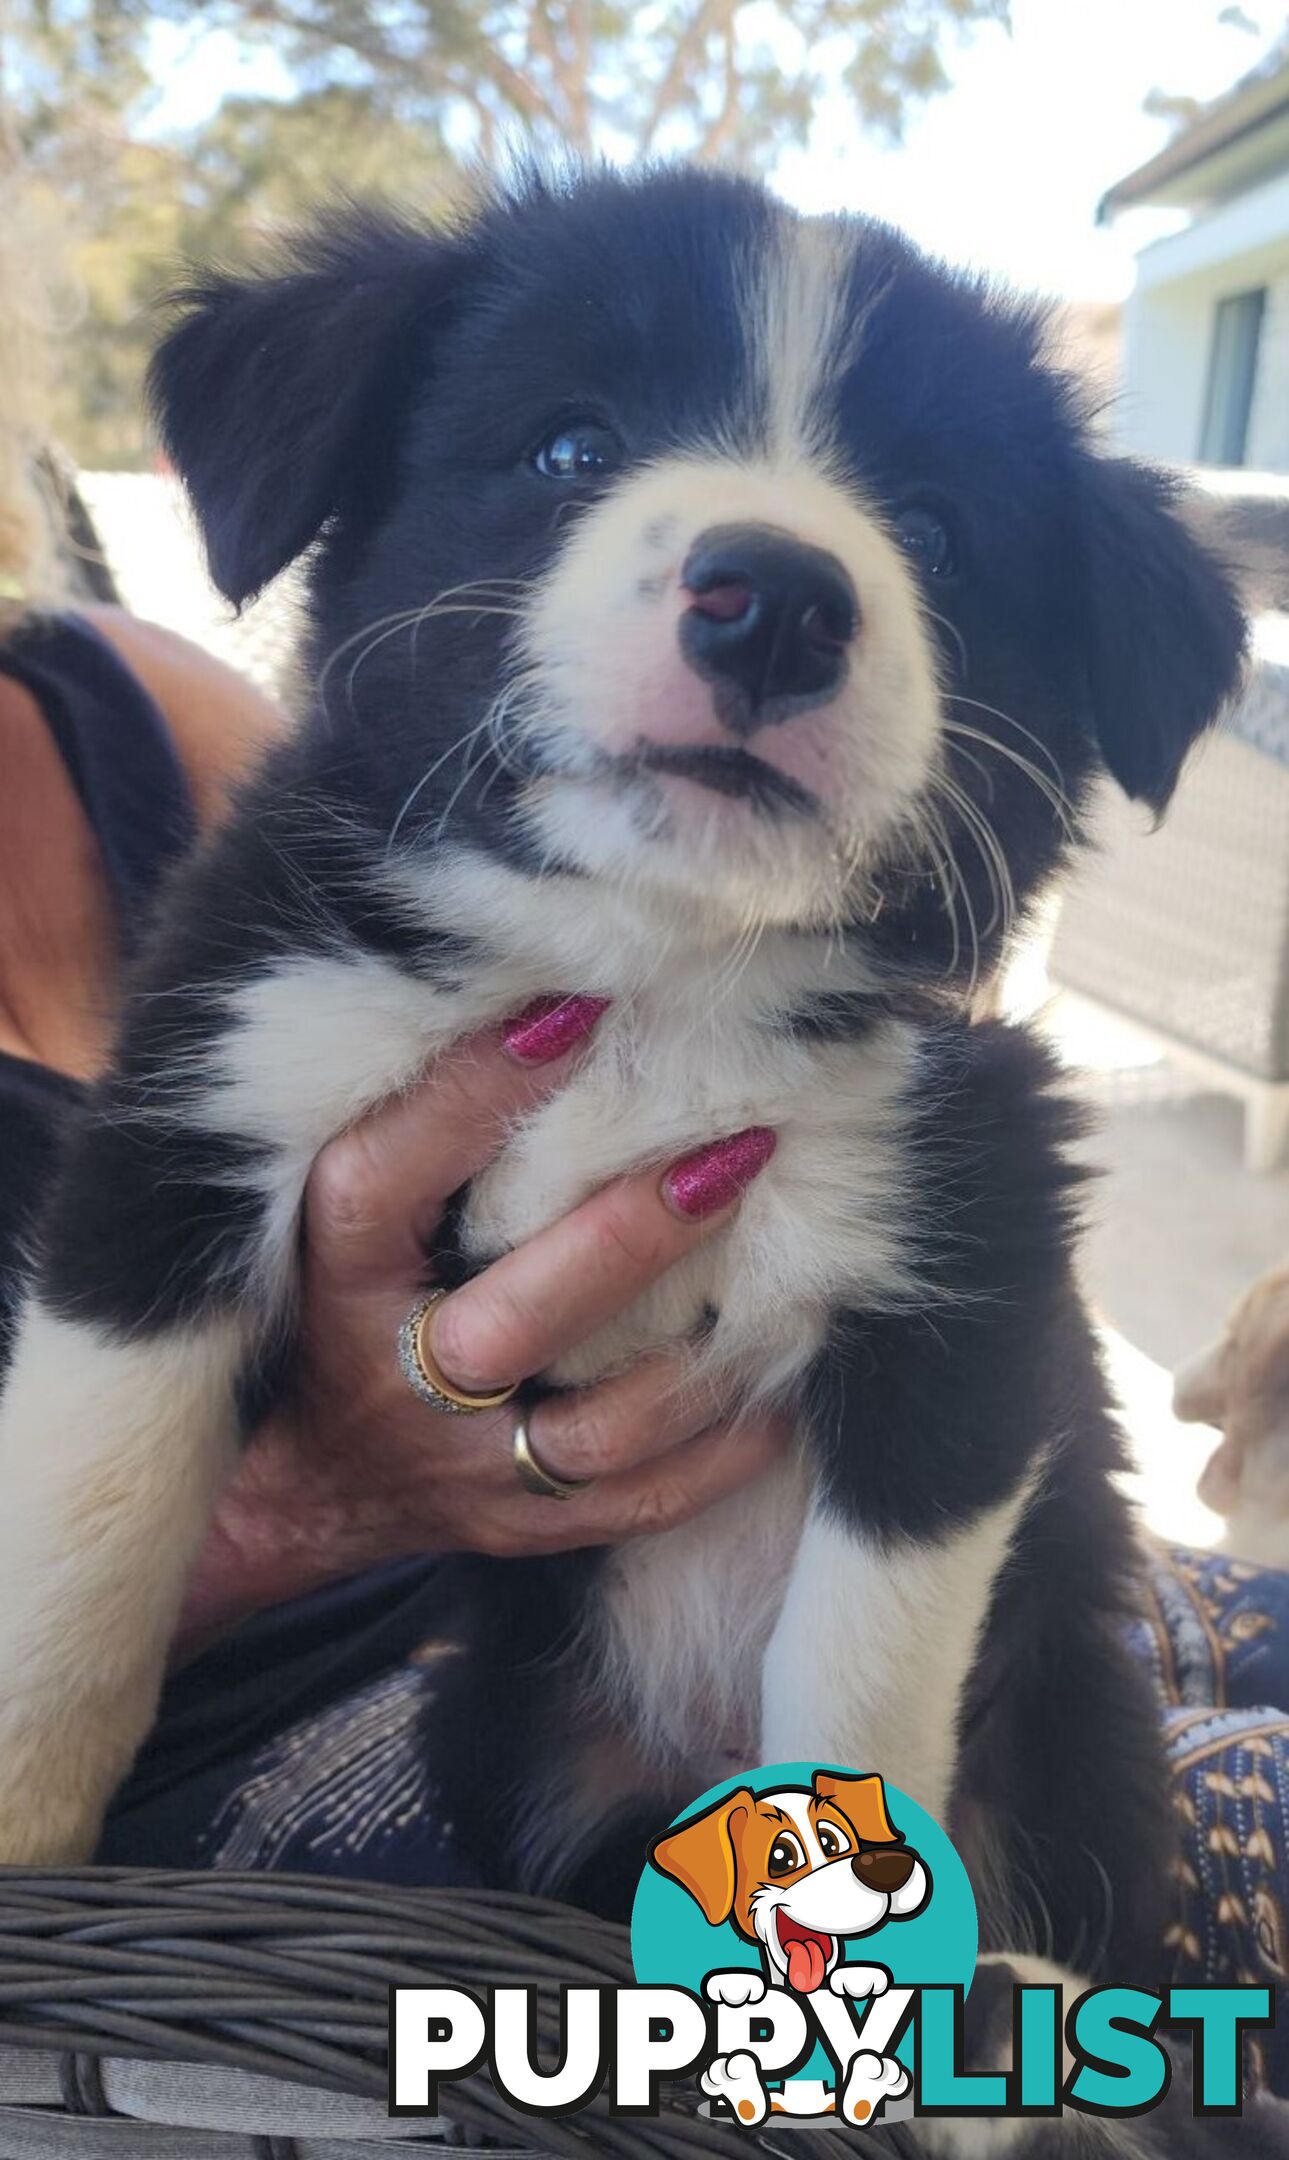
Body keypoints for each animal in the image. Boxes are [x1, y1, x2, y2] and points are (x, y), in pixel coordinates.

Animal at [0, 159, 1243, 1995]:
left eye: (938, 532)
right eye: (568, 445)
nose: (776, 596)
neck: (648, 975)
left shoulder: (962, 1281)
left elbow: (861, 1672)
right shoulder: (199, 1109)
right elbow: (91, 1514)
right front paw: (27, 1820)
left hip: (1080, 1732)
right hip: (501, 1732)